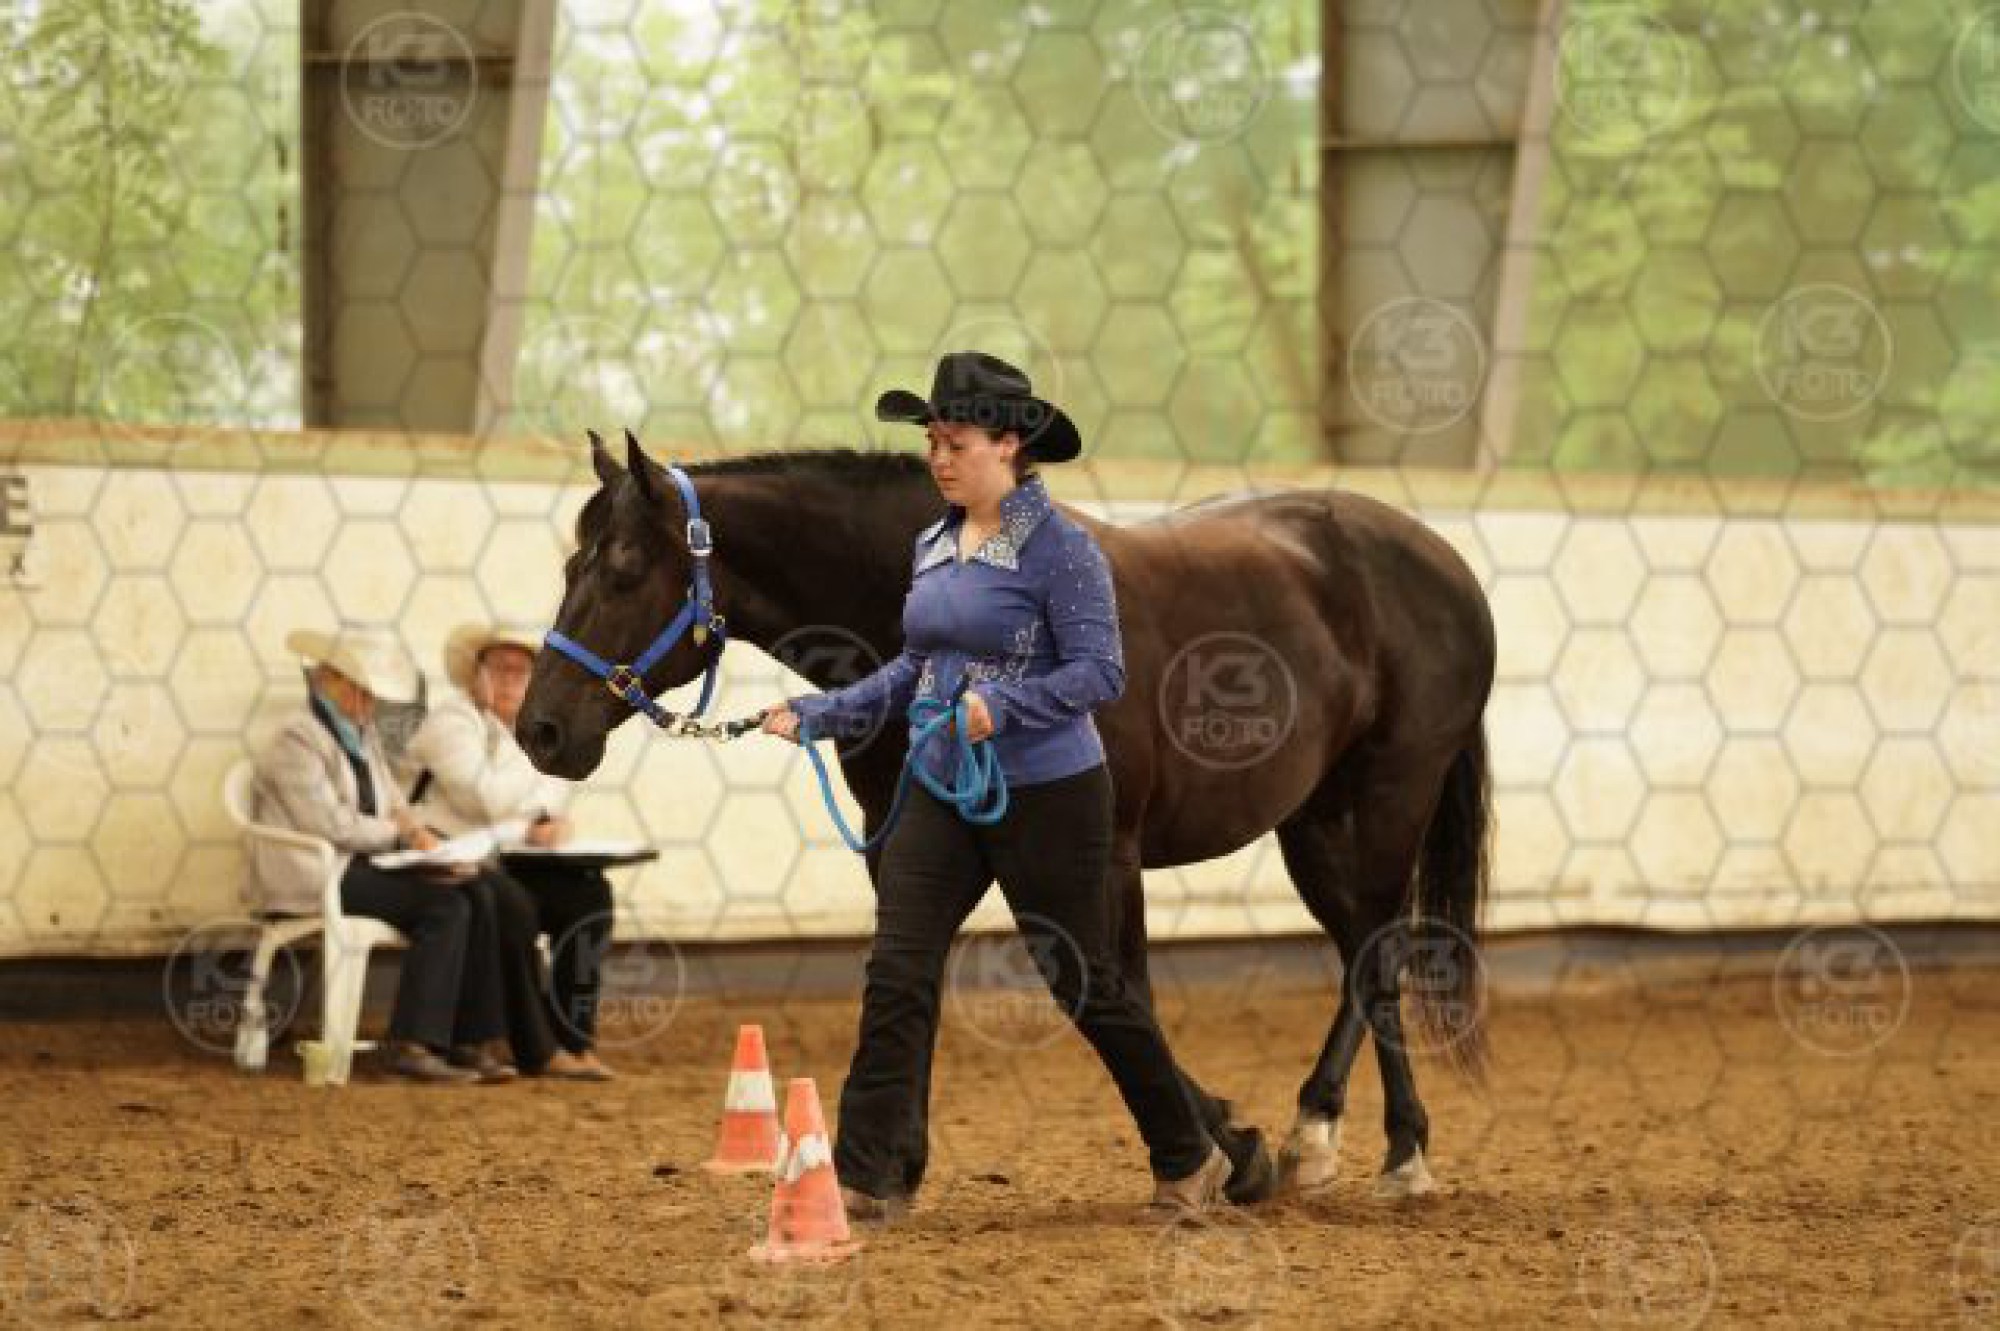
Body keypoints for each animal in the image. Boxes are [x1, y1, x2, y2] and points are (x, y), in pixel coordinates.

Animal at [519, 433, 1497, 1199]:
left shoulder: (1103, 858)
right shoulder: (907, 842)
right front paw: (895, 1161)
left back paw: (1376, 1147)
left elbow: (1118, 989)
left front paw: (1226, 1147)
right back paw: (1335, 1137)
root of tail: (1444, 564)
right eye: (568, 566)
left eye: (622, 571)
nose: (540, 728)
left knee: (1377, 950)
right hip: (1314, 822)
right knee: (1363, 952)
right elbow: (914, 968)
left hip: (1385, 803)